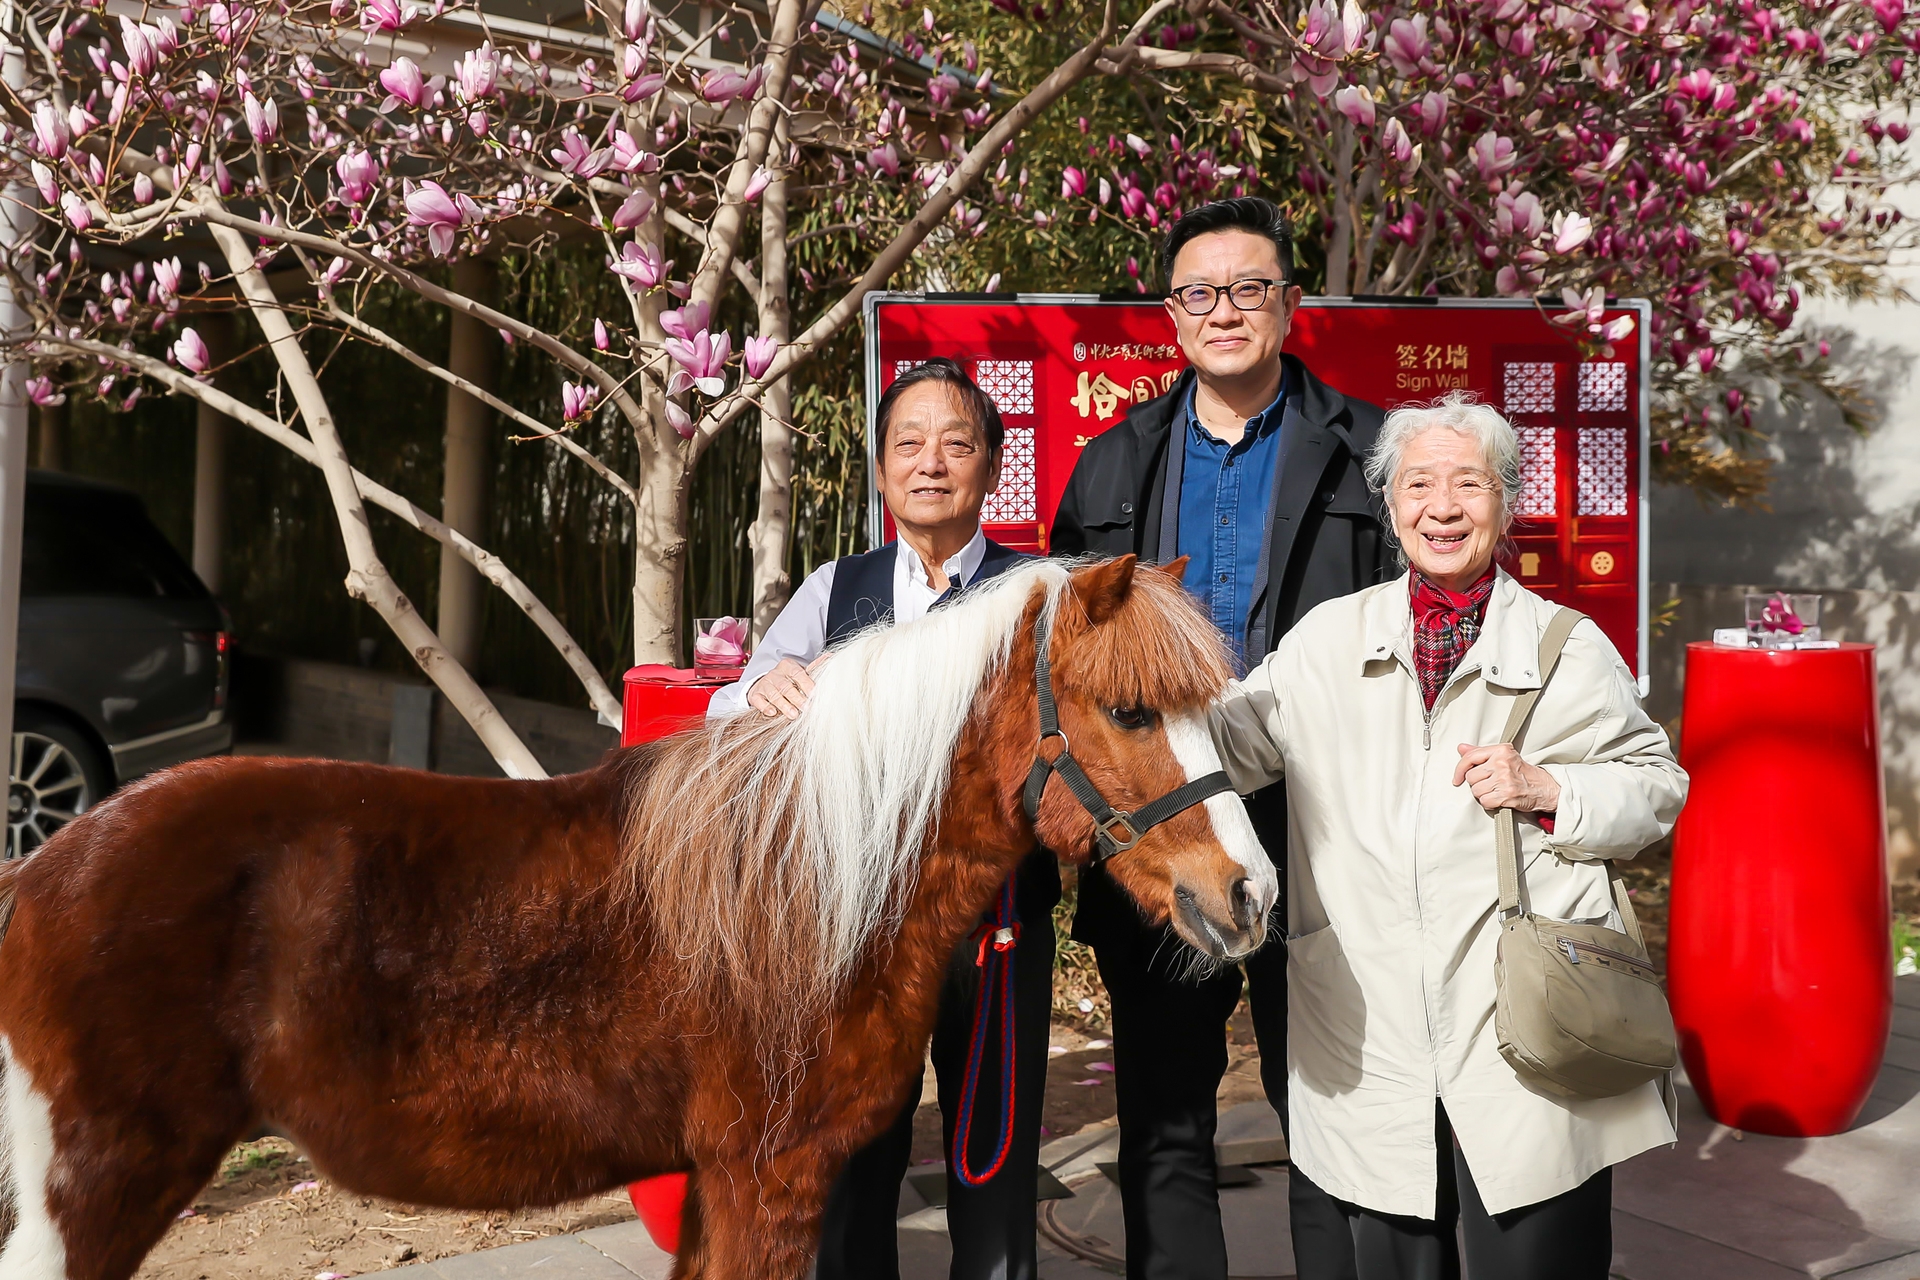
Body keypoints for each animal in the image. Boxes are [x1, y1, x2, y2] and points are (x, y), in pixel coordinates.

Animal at [0, 560, 1274, 1280]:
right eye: (1130, 708)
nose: (1248, 892)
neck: (812, 863)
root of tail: (42, 868)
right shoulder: (767, 1178)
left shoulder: (720, 1183)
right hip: (102, 1181)